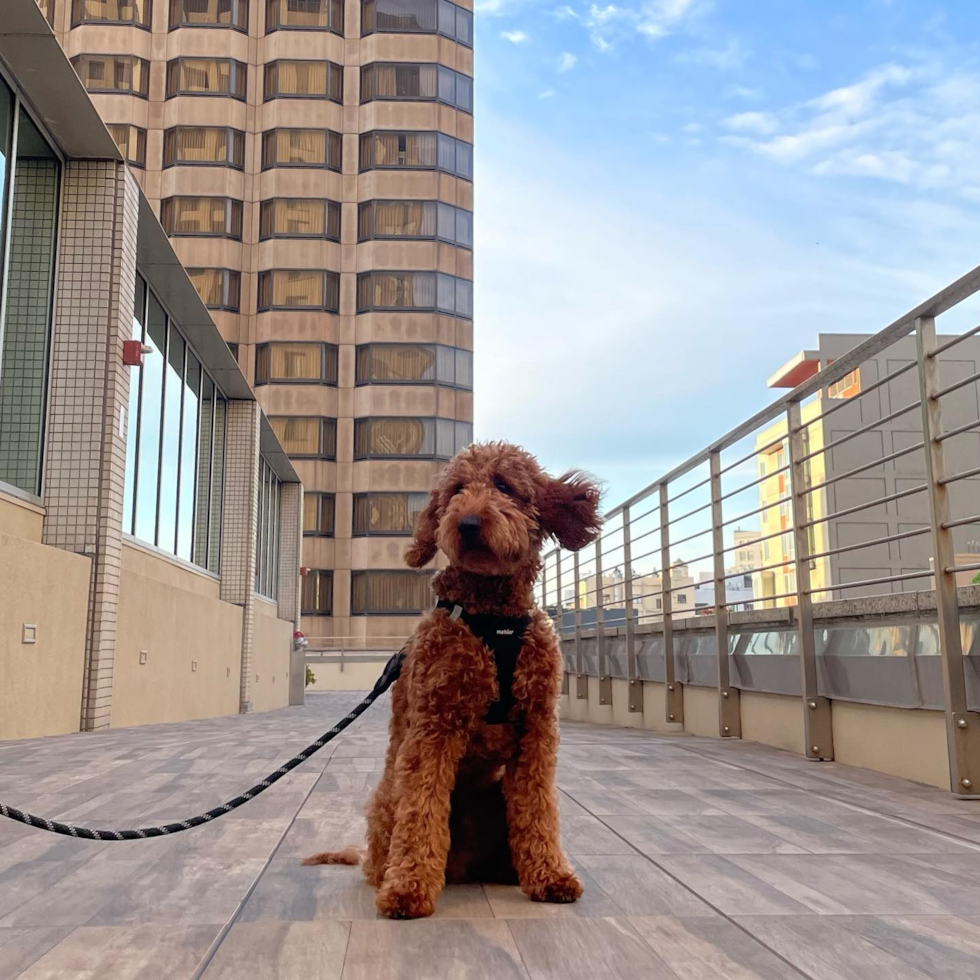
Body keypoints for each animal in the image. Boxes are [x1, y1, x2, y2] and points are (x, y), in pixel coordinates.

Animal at [302, 444, 600, 920]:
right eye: (457, 490)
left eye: (504, 485)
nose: (468, 523)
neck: (492, 619)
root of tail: (465, 865)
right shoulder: (434, 724)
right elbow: (421, 809)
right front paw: (407, 889)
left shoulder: (537, 727)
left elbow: (538, 807)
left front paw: (551, 875)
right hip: (387, 797)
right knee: (393, 836)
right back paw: (390, 873)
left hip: (495, 796)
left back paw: (512, 870)